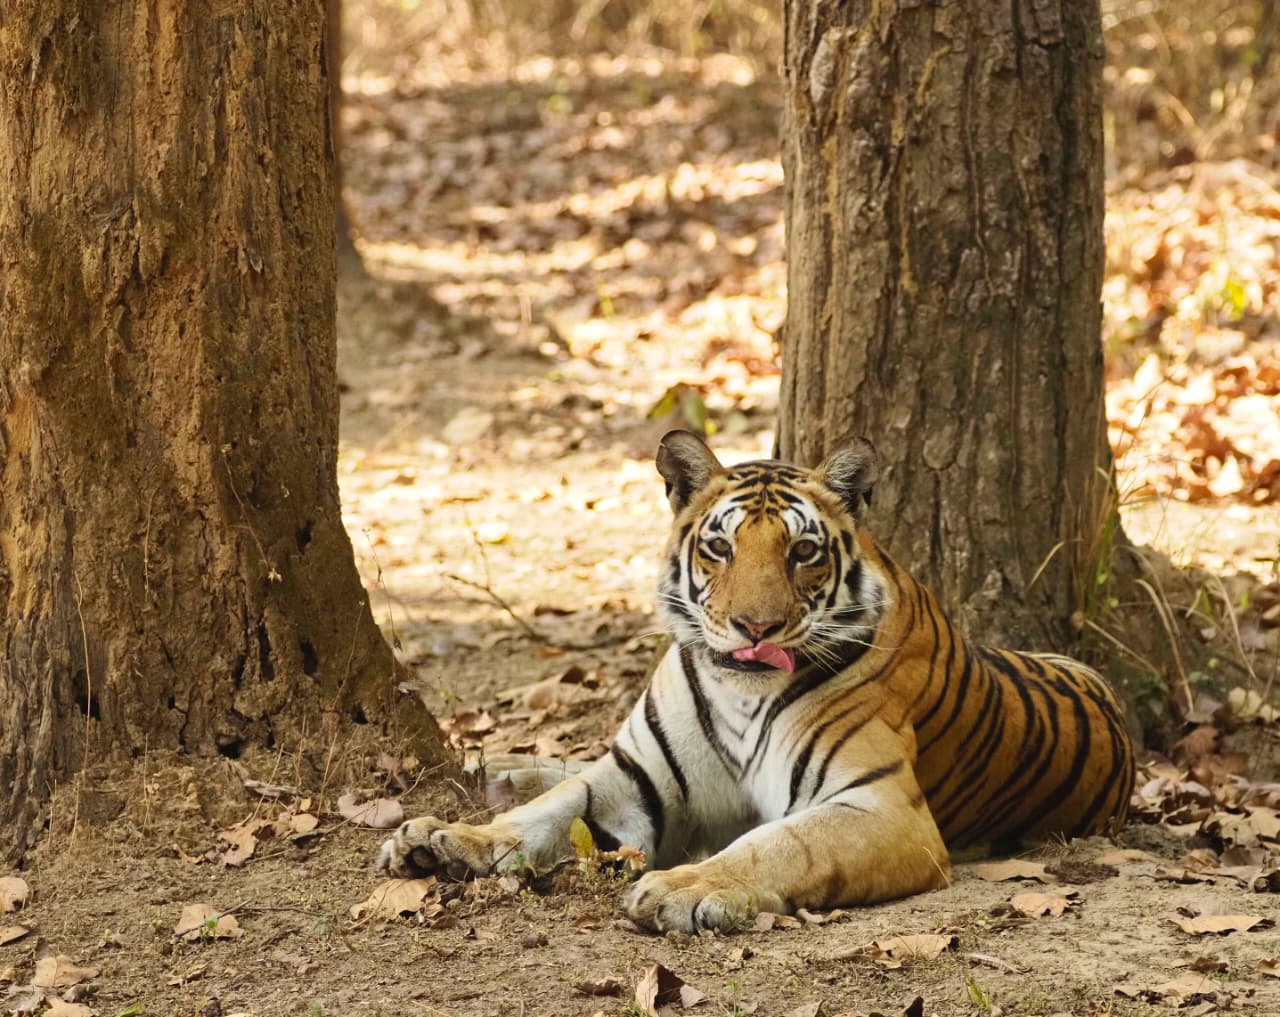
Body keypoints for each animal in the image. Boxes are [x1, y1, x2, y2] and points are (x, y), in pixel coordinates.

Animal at [379, 430, 1135, 933]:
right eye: (720, 547)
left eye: (802, 551)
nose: (755, 626)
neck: (738, 693)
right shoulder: (633, 778)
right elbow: (554, 805)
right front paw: (452, 839)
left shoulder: (884, 809)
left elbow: (780, 843)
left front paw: (683, 886)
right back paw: (490, 773)